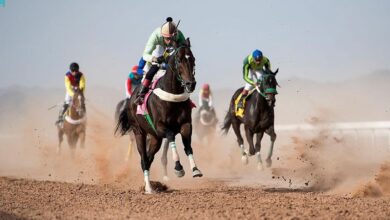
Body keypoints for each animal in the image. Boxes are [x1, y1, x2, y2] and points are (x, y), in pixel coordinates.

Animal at [114, 38, 203, 193]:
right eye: (179, 60)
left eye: (193, 59)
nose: (190, 84)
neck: (172, 95)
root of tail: (130, 100)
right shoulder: (161, 127)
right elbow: (171, 136)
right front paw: (178, 168)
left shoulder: (186, 124)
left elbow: (188, 146)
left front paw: (195, 169)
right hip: (139, 132)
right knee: (144, 160)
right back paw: (149, 188)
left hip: (155, 139)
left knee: (149, 159)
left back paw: (150, 185)